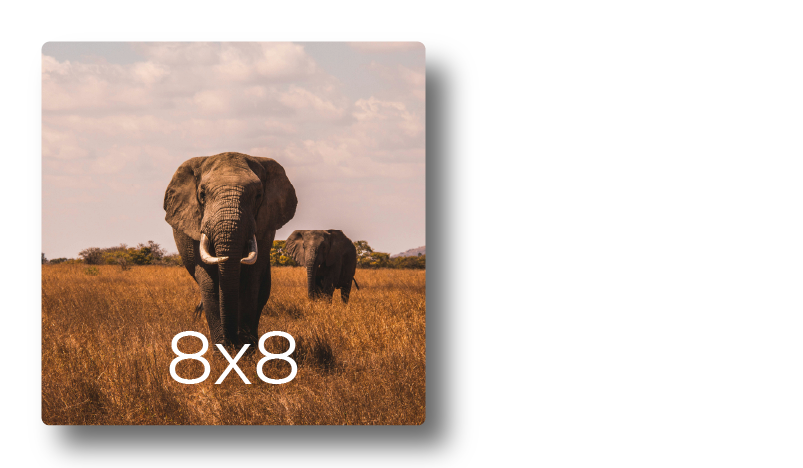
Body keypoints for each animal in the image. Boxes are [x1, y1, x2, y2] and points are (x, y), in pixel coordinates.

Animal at [164, 152, 297, 348]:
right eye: (202, 194)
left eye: (258, 195)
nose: (232, 343)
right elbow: (210, 283)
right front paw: (223, 352)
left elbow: (251, 282)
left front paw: (246, 351)